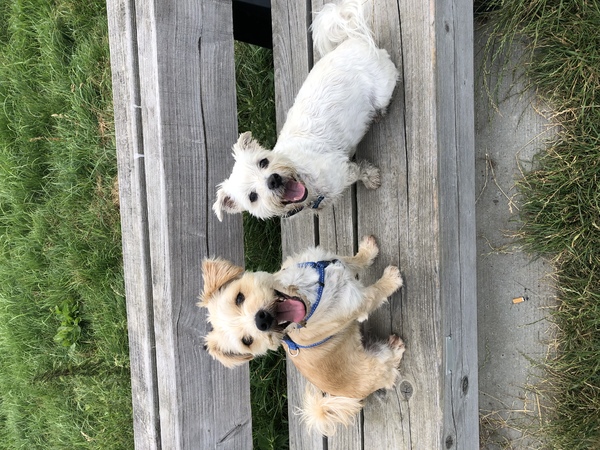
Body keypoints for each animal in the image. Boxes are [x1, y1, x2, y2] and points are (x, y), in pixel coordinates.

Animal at [199, 236, 405, 436]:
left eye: (239, 298)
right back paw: (395, 347)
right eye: (247, 341)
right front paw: (391, 279)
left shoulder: (334, 261)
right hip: (378, 363)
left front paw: (368, 250)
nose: (261, 321)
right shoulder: (360, 303)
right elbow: (376, 292)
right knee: (390, 370)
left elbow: (354, 261)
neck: (308, 291)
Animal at [213, 0, 399, 220]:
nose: (273, 180)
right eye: (252, 196)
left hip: (382, 90)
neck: (305, 179)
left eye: (263, 162)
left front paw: (371, 178)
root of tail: (352, 40)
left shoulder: (342, 169)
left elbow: (360, 170)